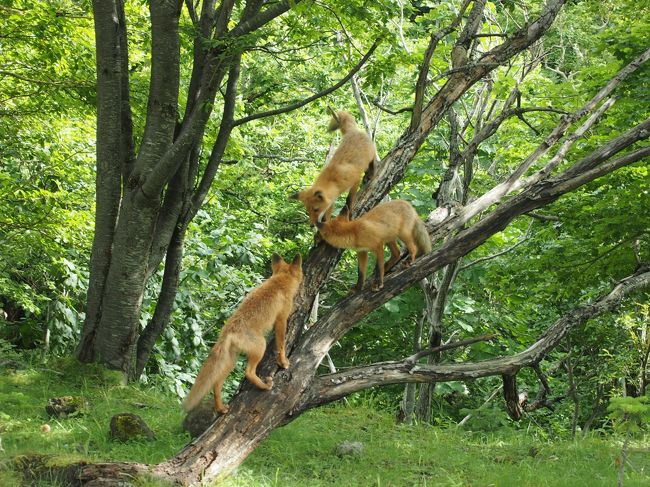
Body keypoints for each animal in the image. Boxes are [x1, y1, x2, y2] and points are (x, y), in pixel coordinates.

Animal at [181, 252, 302, 416]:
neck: (280, 281)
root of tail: (227, 332)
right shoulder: (281, 320)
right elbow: (281, 344)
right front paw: (283, 362)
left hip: (231, 360)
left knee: (216, 384)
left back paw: (220, 408)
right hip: (260, 346)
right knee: (248, 372)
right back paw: (264, 386)